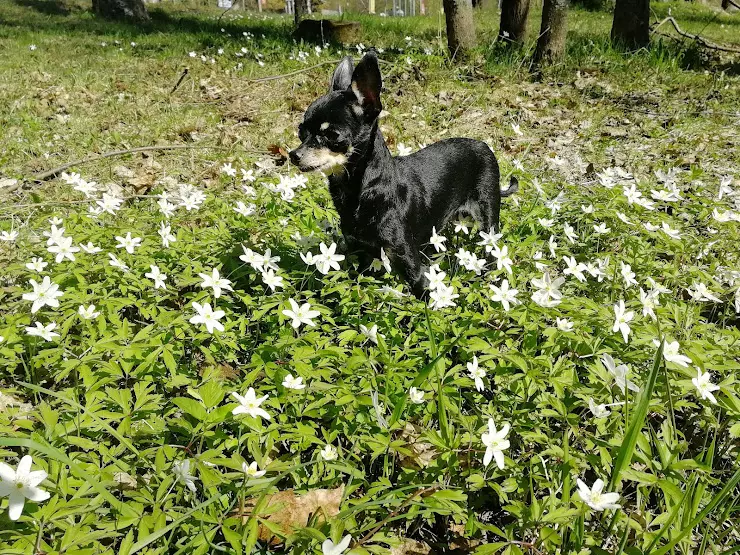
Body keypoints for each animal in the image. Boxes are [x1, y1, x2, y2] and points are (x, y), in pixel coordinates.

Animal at [286, 50, 516, 298]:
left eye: (332, 135)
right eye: (301, 132)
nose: (293, 155)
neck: (361, 190)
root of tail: (484, 145)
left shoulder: (407, 260)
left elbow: (422, 293)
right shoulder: (358, 252)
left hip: (488, 218)